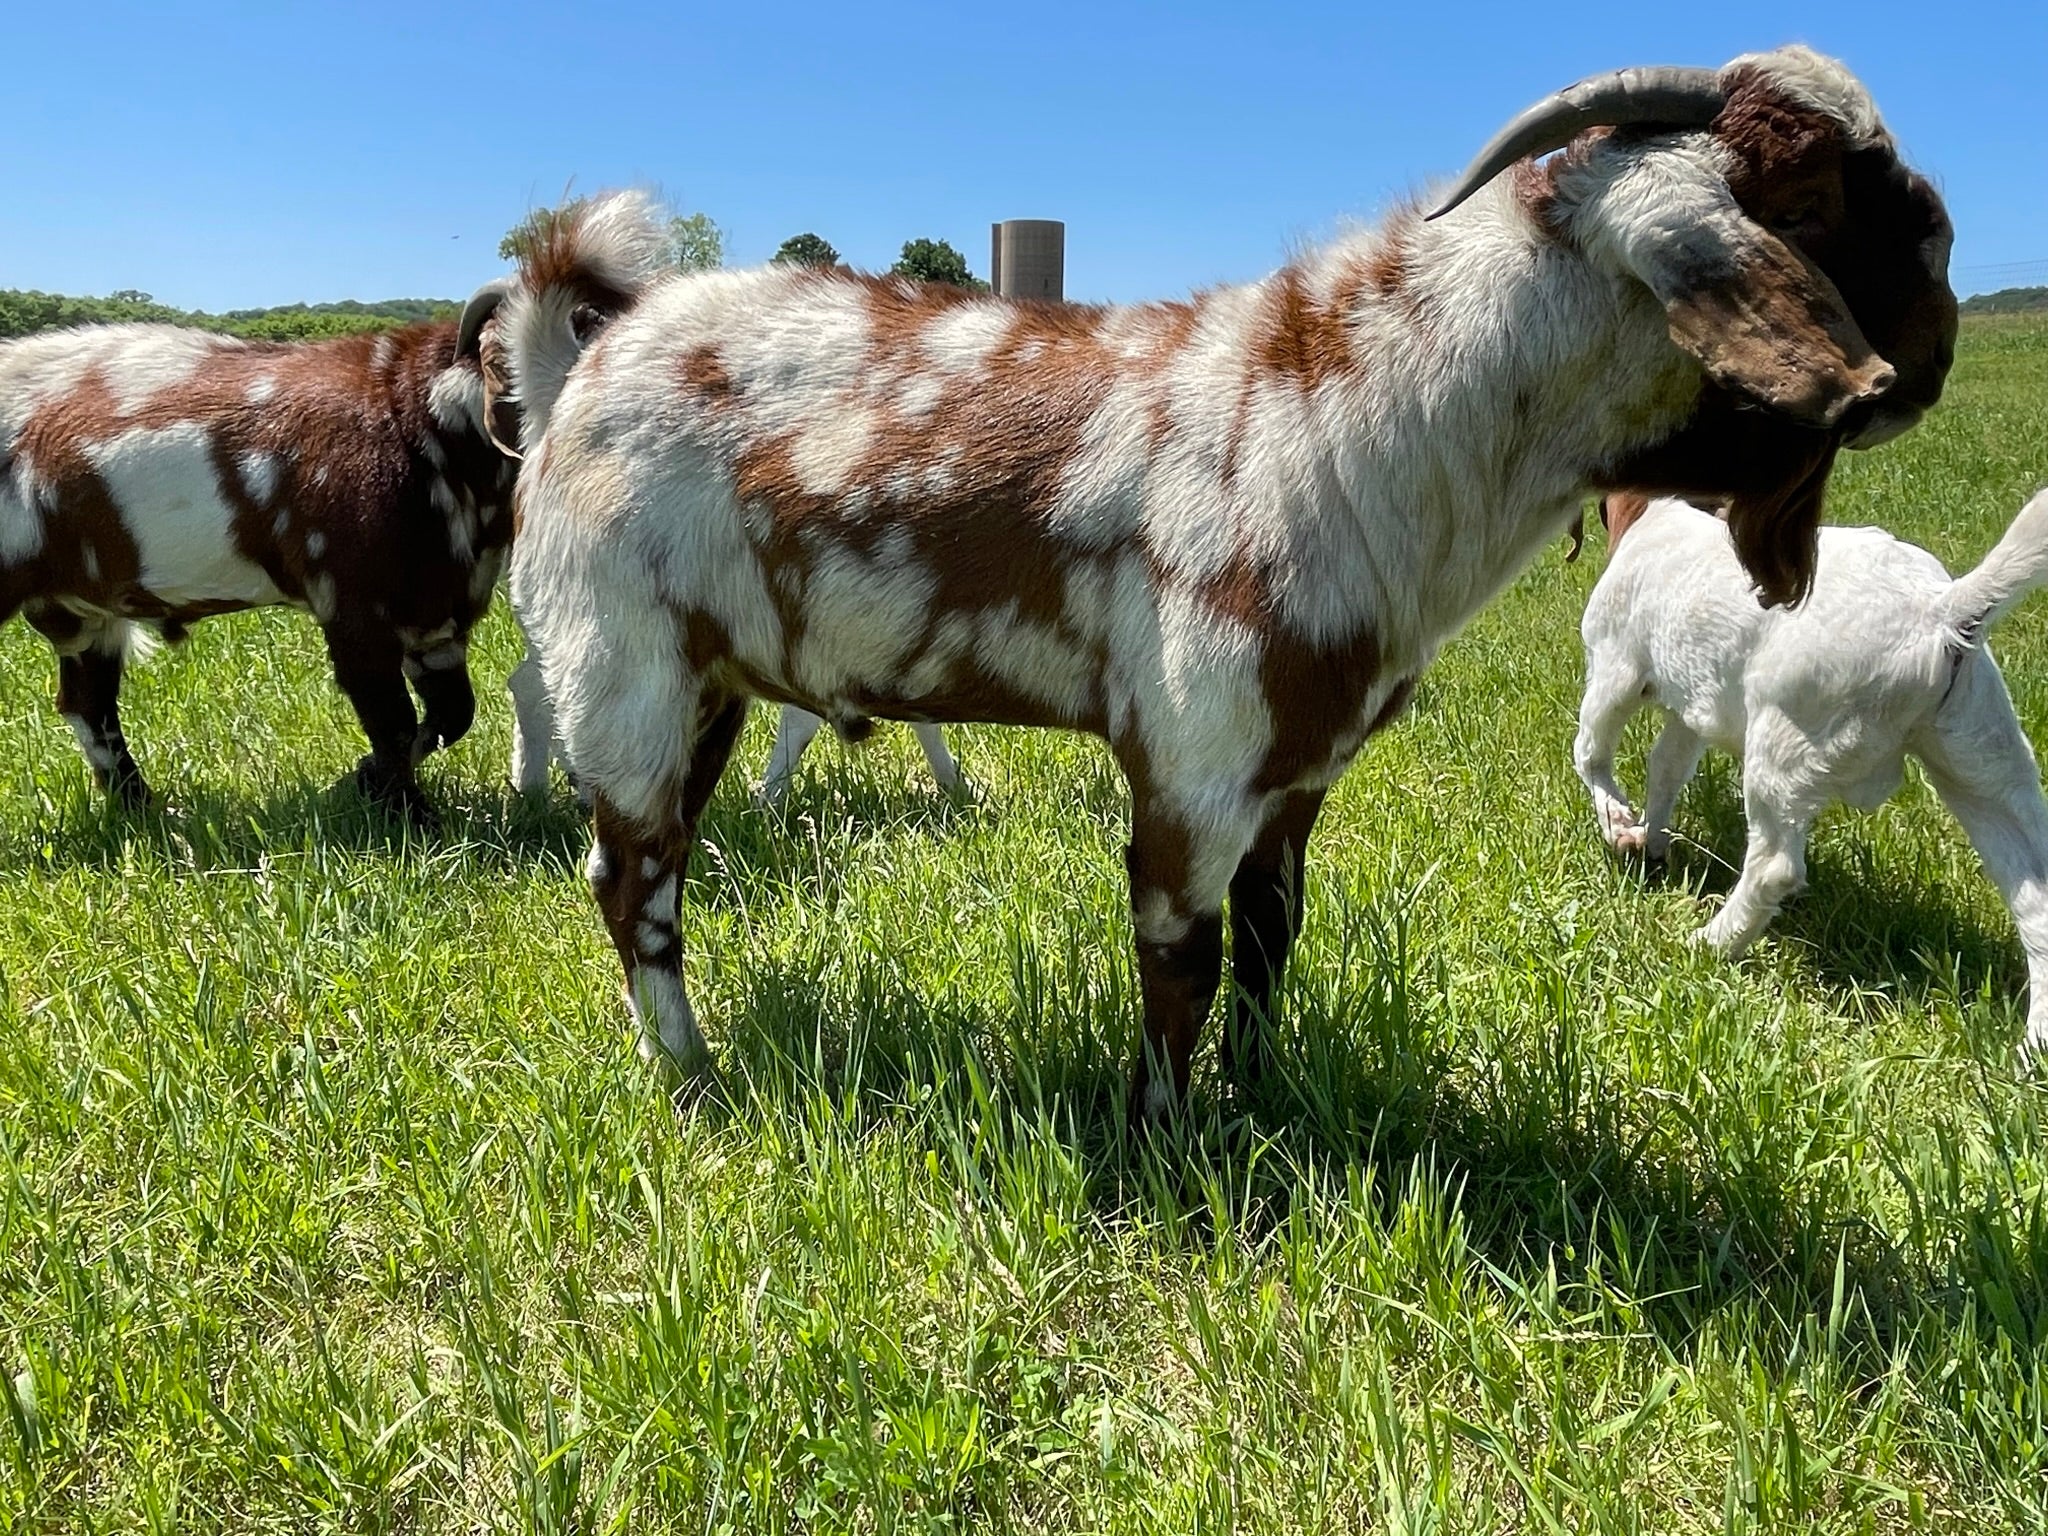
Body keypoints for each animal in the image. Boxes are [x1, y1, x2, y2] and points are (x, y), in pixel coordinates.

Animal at [0, 310, 517, 822]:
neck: (413, 417)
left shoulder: (435, 612)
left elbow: (454, 713)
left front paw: (360, 781)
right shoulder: (355, 605)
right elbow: (391, 719)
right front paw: (410, 819)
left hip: (85, 612)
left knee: (89, 704)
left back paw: (145, 812)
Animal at [487, 47, 1957, 1115]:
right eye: (1810, 202)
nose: (1933, 364)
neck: (1349, 421)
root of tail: (579, 366)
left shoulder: (1293, 770)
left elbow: (1269, 939)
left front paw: (1261, 1103)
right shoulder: (1192, 756)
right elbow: (1179, 961)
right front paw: (1167, 1141)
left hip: (709, 686)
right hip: (621, 668)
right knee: (631, 883)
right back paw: (690, 1074)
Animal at [1577, 490, 2048, 1050]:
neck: (1660, 514)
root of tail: (1940, 611)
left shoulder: (1615, 668)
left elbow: (1591, 751)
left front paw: (1618, 826)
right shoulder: (1690, 713)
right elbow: (1665, 769)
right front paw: (1651, 840)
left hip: (1781, 742)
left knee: (1773, 865)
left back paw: (1710, 942)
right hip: (1984, 760)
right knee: (2036, 903)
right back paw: (2034, 1047)